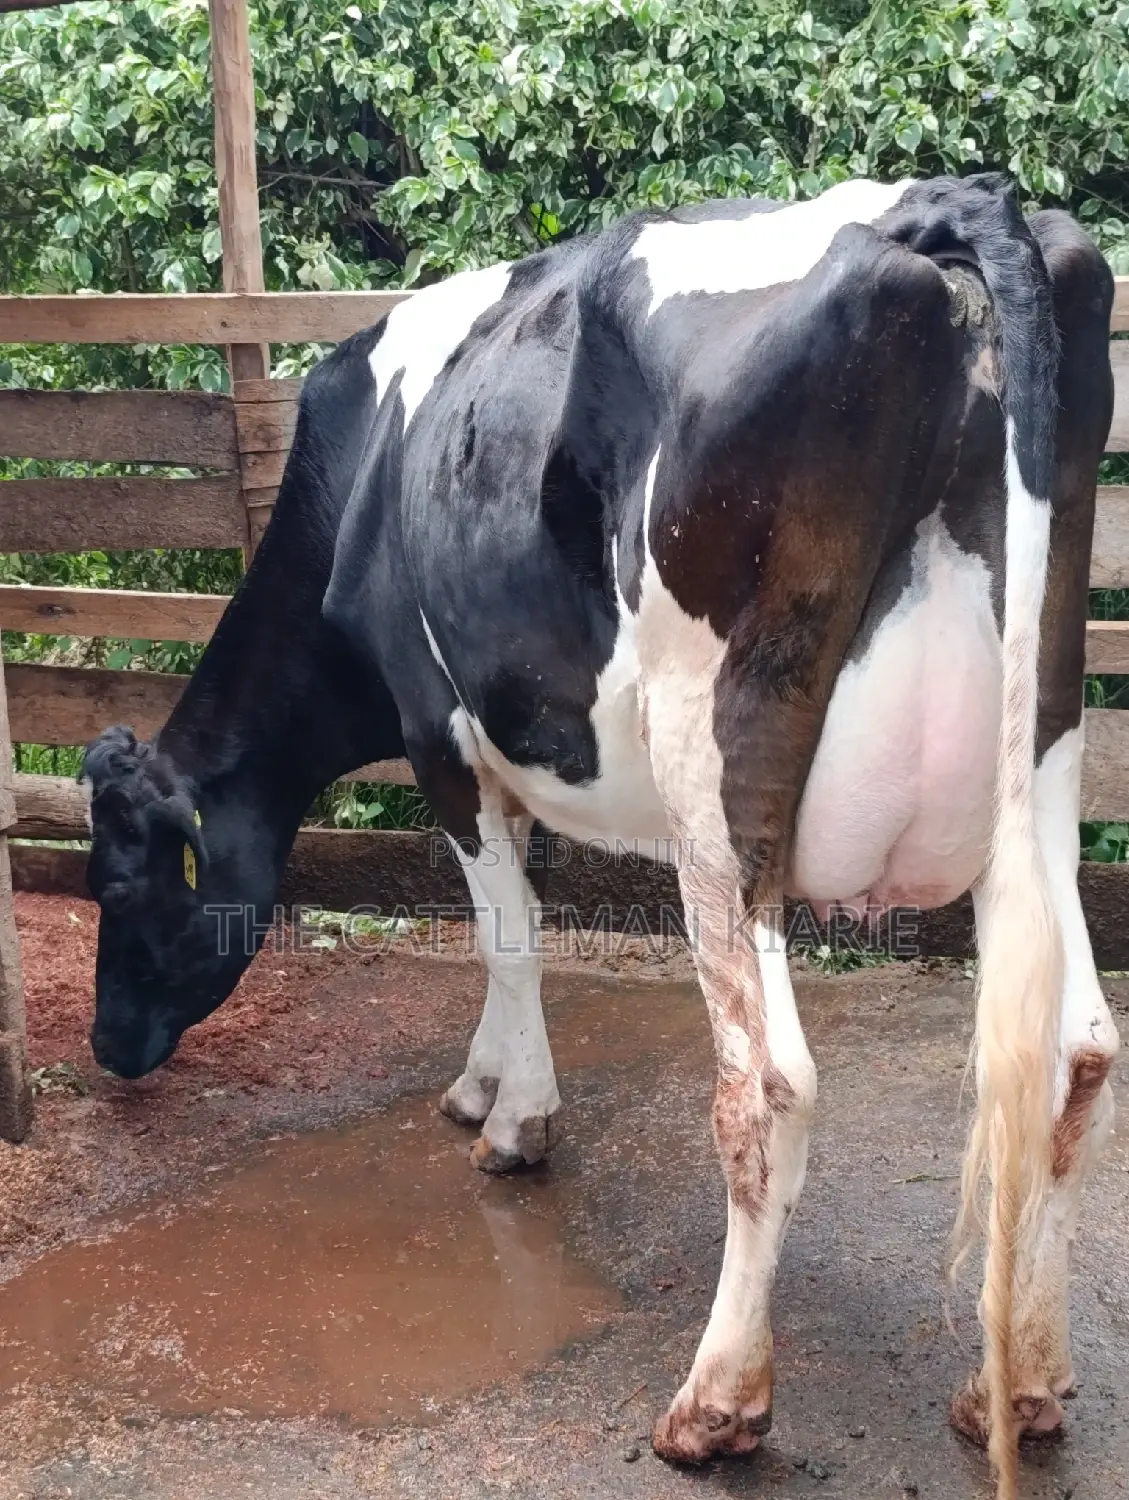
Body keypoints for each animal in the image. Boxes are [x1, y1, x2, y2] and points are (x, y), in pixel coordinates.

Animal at [81, 174, 1116, 1500]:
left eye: (119, 883)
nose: (106, 1048)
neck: (356, 485)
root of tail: (939, 207)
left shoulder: (438, 732)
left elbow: (505, 932)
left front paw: (515, 1123)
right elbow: (509, 913)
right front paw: (478, 1082)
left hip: (716, 765)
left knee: (767, 1081)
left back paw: (716, 1404)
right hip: (1038, 752)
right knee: (1073, 1048)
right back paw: (1020, 1385)